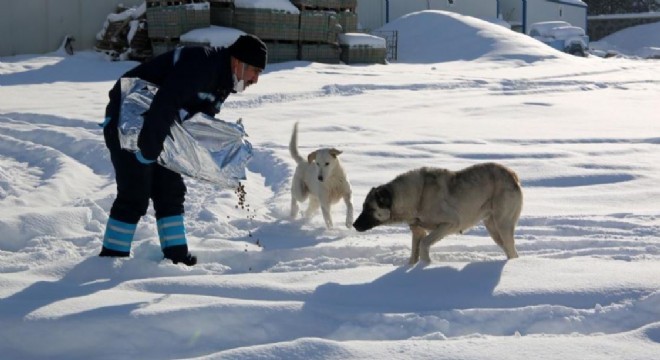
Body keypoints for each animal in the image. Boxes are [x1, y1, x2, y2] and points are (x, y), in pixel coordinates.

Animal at [354, 163, 524, 264]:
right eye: (363, 207)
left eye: (369, 209)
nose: (354, 225)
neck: (416, 198)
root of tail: (512, 174)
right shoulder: (417, 231)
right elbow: (414, 253)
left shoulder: (450, 223)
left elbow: (424, 244)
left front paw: (426, 264)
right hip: (493, 228)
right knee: (509, 250)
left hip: (502, 225)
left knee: (511, 249)